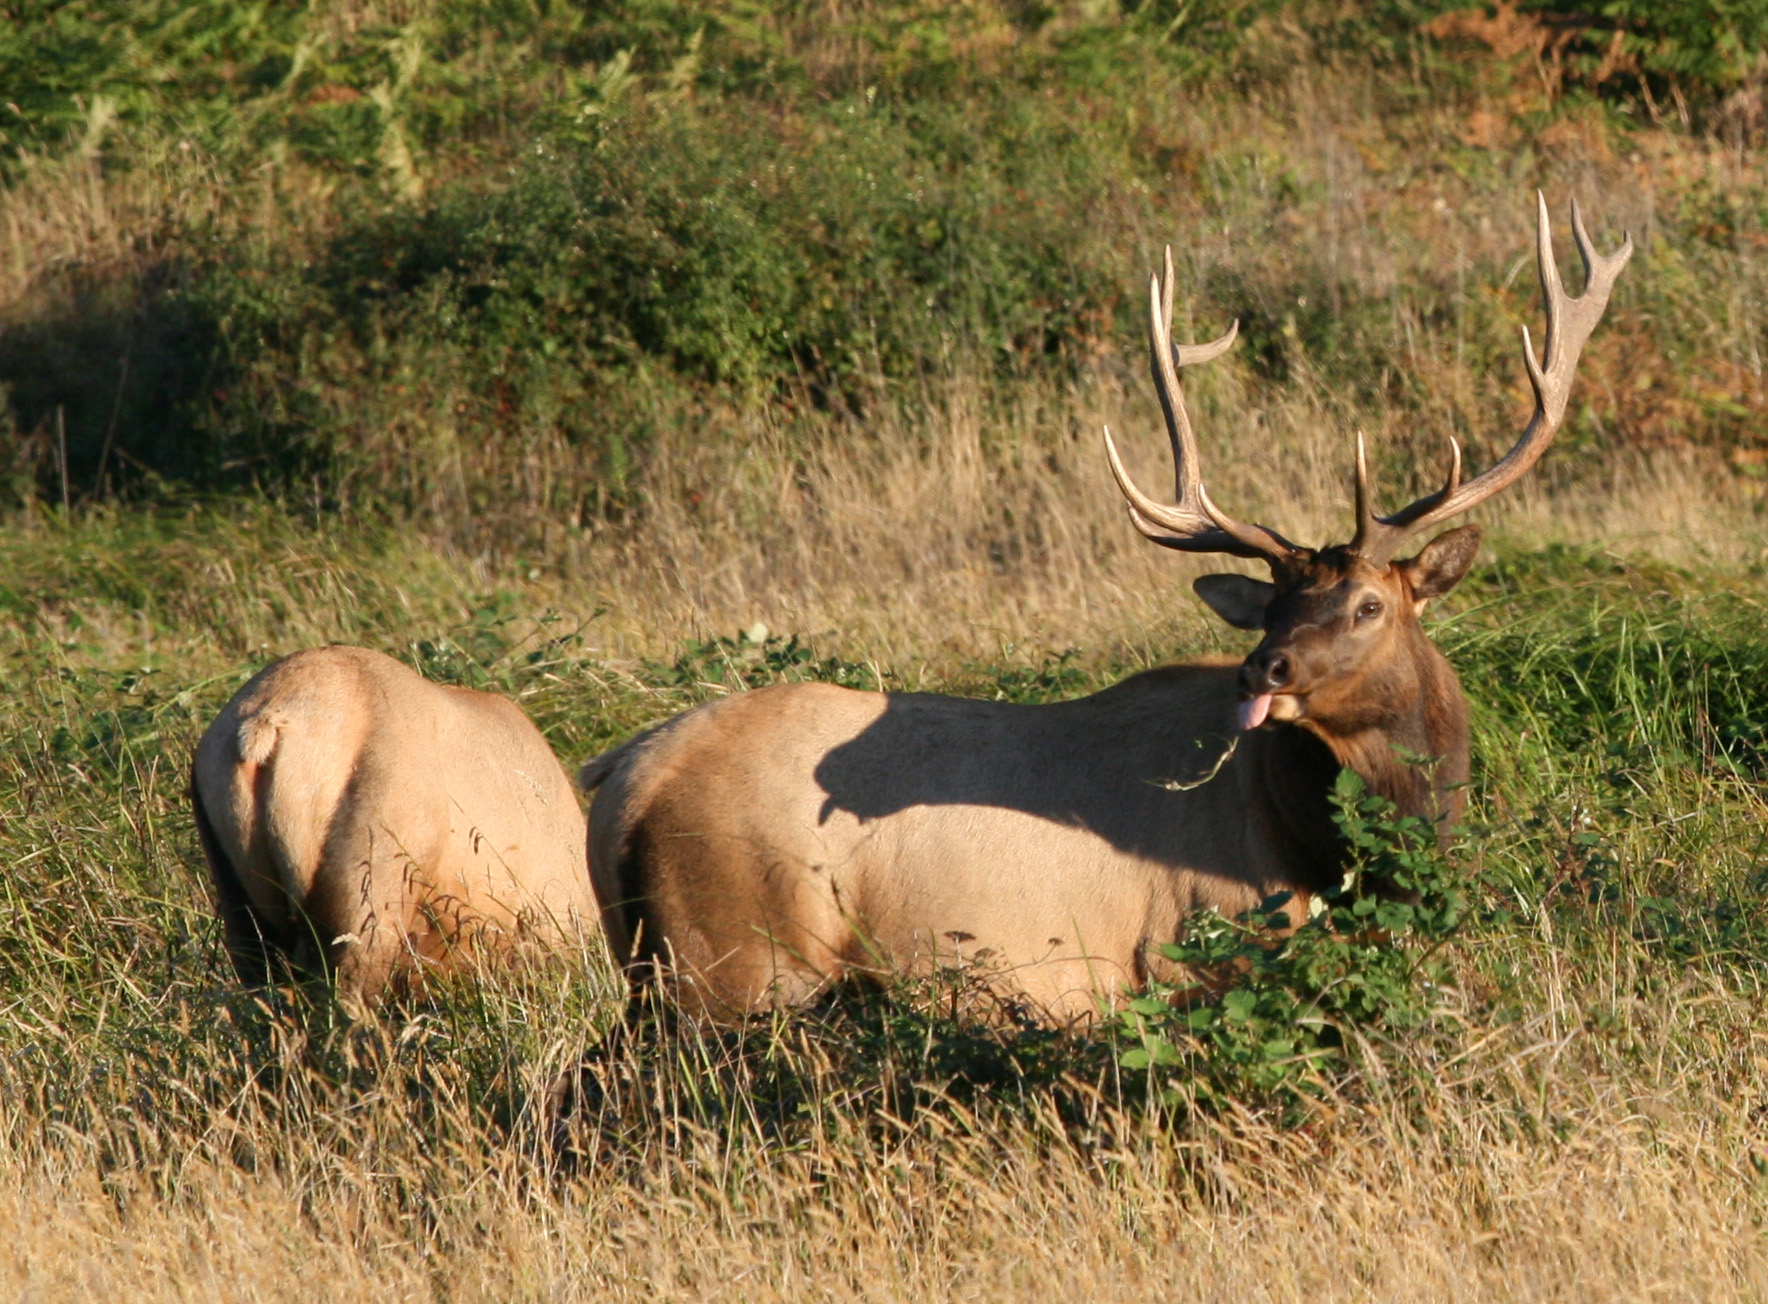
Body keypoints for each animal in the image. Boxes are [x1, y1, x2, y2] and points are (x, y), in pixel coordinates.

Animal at [578, 194, 1632, 1023]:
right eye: (1273, 608)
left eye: (1370, 603)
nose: (1264, 668)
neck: (1338, 850)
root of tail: (621, 780)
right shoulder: (1193, 948)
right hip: (740, 961)